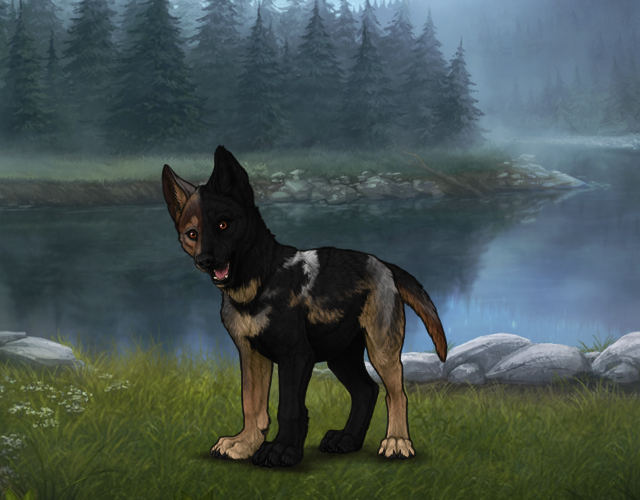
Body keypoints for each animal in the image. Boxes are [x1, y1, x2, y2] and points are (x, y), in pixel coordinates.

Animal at [162, 145, 447, 468]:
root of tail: (384, 265)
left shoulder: (295, 356)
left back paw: (397, 442)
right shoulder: (252, 355)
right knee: (367, 390)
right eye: (192, 234)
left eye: (223, 225)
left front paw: (281, 450)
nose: (205, 262)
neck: (261, 281)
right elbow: (251, 404)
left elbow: (289, 408)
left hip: (381, 350)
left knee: (396, 394)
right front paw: (245, 444)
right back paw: (347, 440)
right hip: (341, 357)